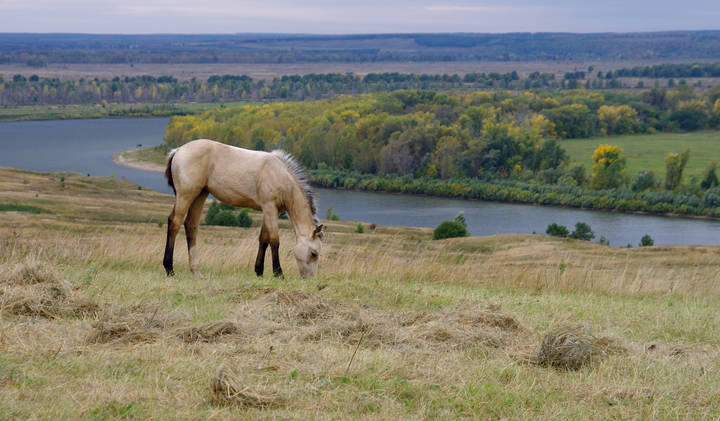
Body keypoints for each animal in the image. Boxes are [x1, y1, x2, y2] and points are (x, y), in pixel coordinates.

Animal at [162, 138, 324, 278]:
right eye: (314, 253)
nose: (310, 279)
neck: (279, 174)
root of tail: (178, 150)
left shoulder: (270, 211)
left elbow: (263, 239)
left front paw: (259, 271)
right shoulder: (270, 208)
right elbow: (274, 240)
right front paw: (278, 273)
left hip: (200, 195)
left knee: (191, 226)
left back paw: (196, 271)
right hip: (186, 195)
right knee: (175, 223)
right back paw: (169, 269)